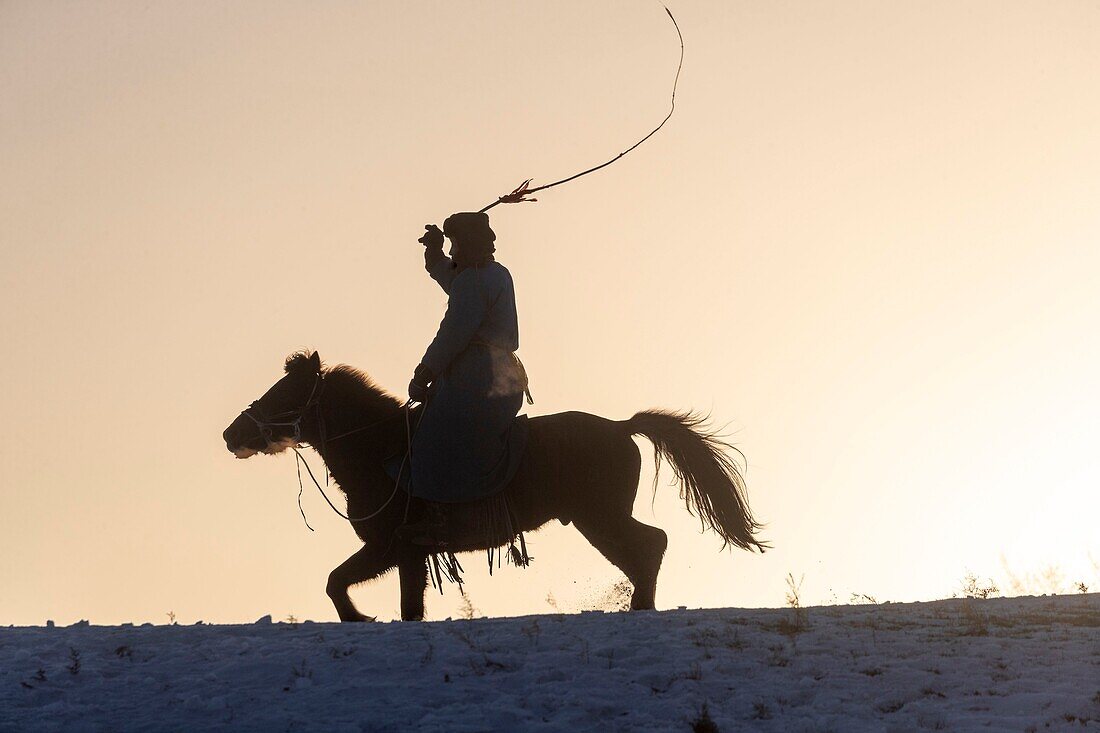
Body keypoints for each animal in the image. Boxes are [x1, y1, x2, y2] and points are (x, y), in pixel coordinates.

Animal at [218, 352, 761, 620]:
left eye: (284, 392)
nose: (231, 434)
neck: (380, 448)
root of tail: (620, 426)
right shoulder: (405, 553)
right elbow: (398, 603)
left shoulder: (392, 546)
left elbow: (342, 584)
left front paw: (358, 619)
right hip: (598, 519)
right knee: (646, 548)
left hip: (599, 517)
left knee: (651, 545)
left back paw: (640, 607)